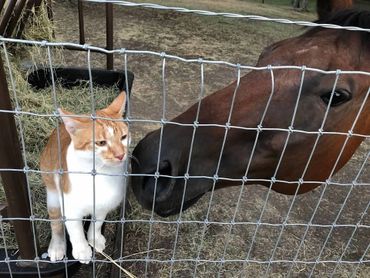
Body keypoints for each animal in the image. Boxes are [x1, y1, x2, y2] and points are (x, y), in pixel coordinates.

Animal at [40, 92, 129, 264]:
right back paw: (57, 246)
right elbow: (75, 230)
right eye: (101, 143)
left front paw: (94, 239)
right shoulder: (70, 206)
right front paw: (82, 250)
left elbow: (97, 223)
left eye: (123, 137)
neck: (100, 174)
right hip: (52, 190)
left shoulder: (103, 204)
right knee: (55, 220)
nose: (121, 155)